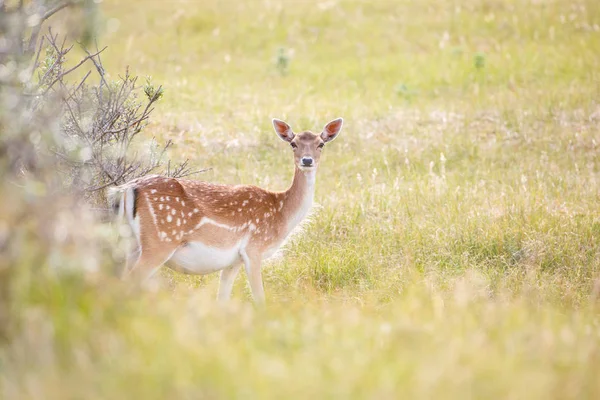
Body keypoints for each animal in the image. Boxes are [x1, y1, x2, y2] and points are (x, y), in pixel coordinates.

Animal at [108, 118, 342, 304]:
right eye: (293, 143)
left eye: (321, 144)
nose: (307, 160)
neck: (281, 214)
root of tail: (126, 189)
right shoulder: (254, 249)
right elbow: (260, 299)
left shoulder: (233, 261)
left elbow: (222, 299)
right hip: (160, 241)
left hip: (130, 243)